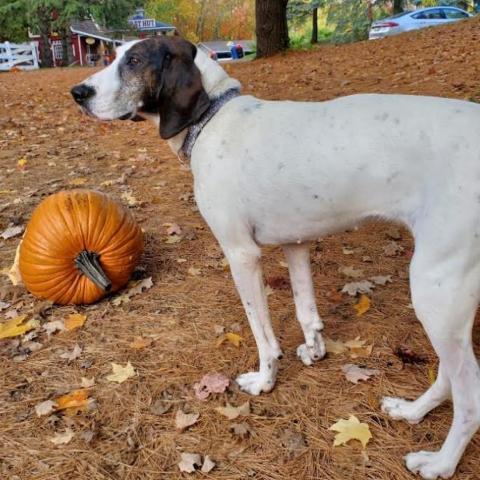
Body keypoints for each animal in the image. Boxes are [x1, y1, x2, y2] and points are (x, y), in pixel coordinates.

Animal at [71, 35, 480, 478]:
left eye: (135, 61)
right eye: (112, 55)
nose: (78, 93)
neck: (213, 115)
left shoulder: (241, 255)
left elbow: (262, 333)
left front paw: (265, 381)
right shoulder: (296, 242)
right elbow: (306, 311)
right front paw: (315, 351)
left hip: (435, 288)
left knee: (470, 393)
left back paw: (441, 462)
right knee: (450, 377)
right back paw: (413, 411)